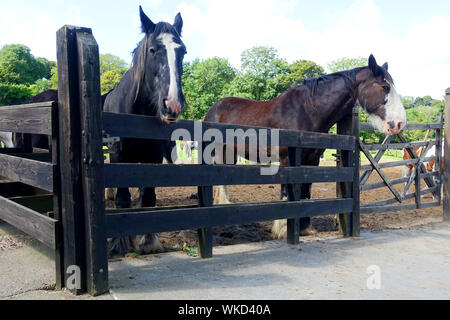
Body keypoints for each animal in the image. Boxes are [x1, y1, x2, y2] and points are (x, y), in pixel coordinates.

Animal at [103, 6, 185, 254]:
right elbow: (122, 198)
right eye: (152, 50)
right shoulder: (118, 155)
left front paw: (148, 241)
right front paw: (119, 242)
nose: (172, 105)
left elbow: (148, 196)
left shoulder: (153, 157)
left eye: (183, 52)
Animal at [206, 54, 406, 238]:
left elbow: (306, 191)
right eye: (385, 87)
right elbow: (286, 192)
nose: (399, 123)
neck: (307, 111)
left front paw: (305, 228)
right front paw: (283, 229)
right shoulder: (287, 159)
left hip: (229, 154)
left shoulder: (312, 159)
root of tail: (214, 108)